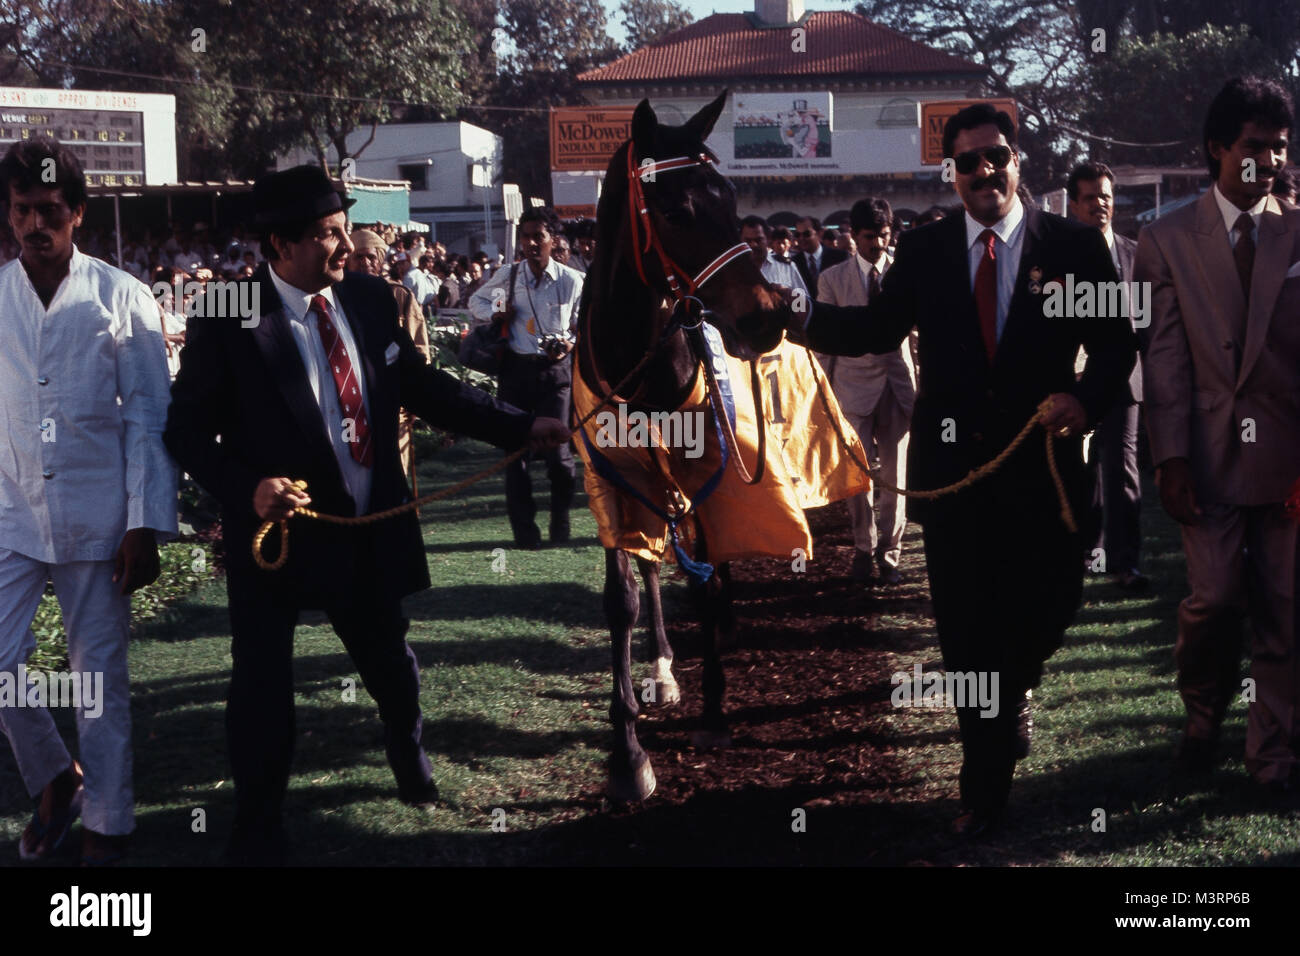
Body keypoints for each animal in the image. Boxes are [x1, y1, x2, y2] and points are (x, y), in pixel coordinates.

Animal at [579, 93, 790, 806]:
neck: (636, 360)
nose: (766, 315)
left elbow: (706, 576)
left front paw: (716, 713)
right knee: (652, 565)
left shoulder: (704, 468)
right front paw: (626, 752)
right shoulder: (610, 479)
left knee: (710, 565)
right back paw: (665, 667)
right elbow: (622, 597)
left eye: (729, 197)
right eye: (674, 211)